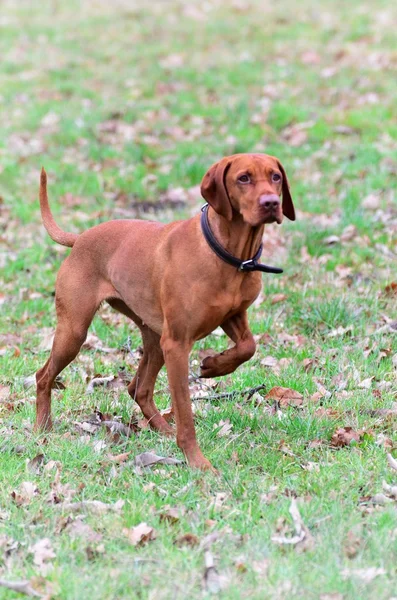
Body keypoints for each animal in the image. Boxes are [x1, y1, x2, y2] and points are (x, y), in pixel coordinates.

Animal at [34, 152, 294, 472]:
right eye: (243, 178)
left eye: (276, 177)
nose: (271, 202)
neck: (228, 253)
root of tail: (81, 238)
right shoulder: (177, 344)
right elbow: (184, 410)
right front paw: (197, 462)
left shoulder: (232, 316)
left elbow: (248, 346)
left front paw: (213, 365)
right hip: (75, 331)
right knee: (43, 376)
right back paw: (42, 429)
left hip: (154, 336)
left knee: (138, 388)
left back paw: (163, 429)